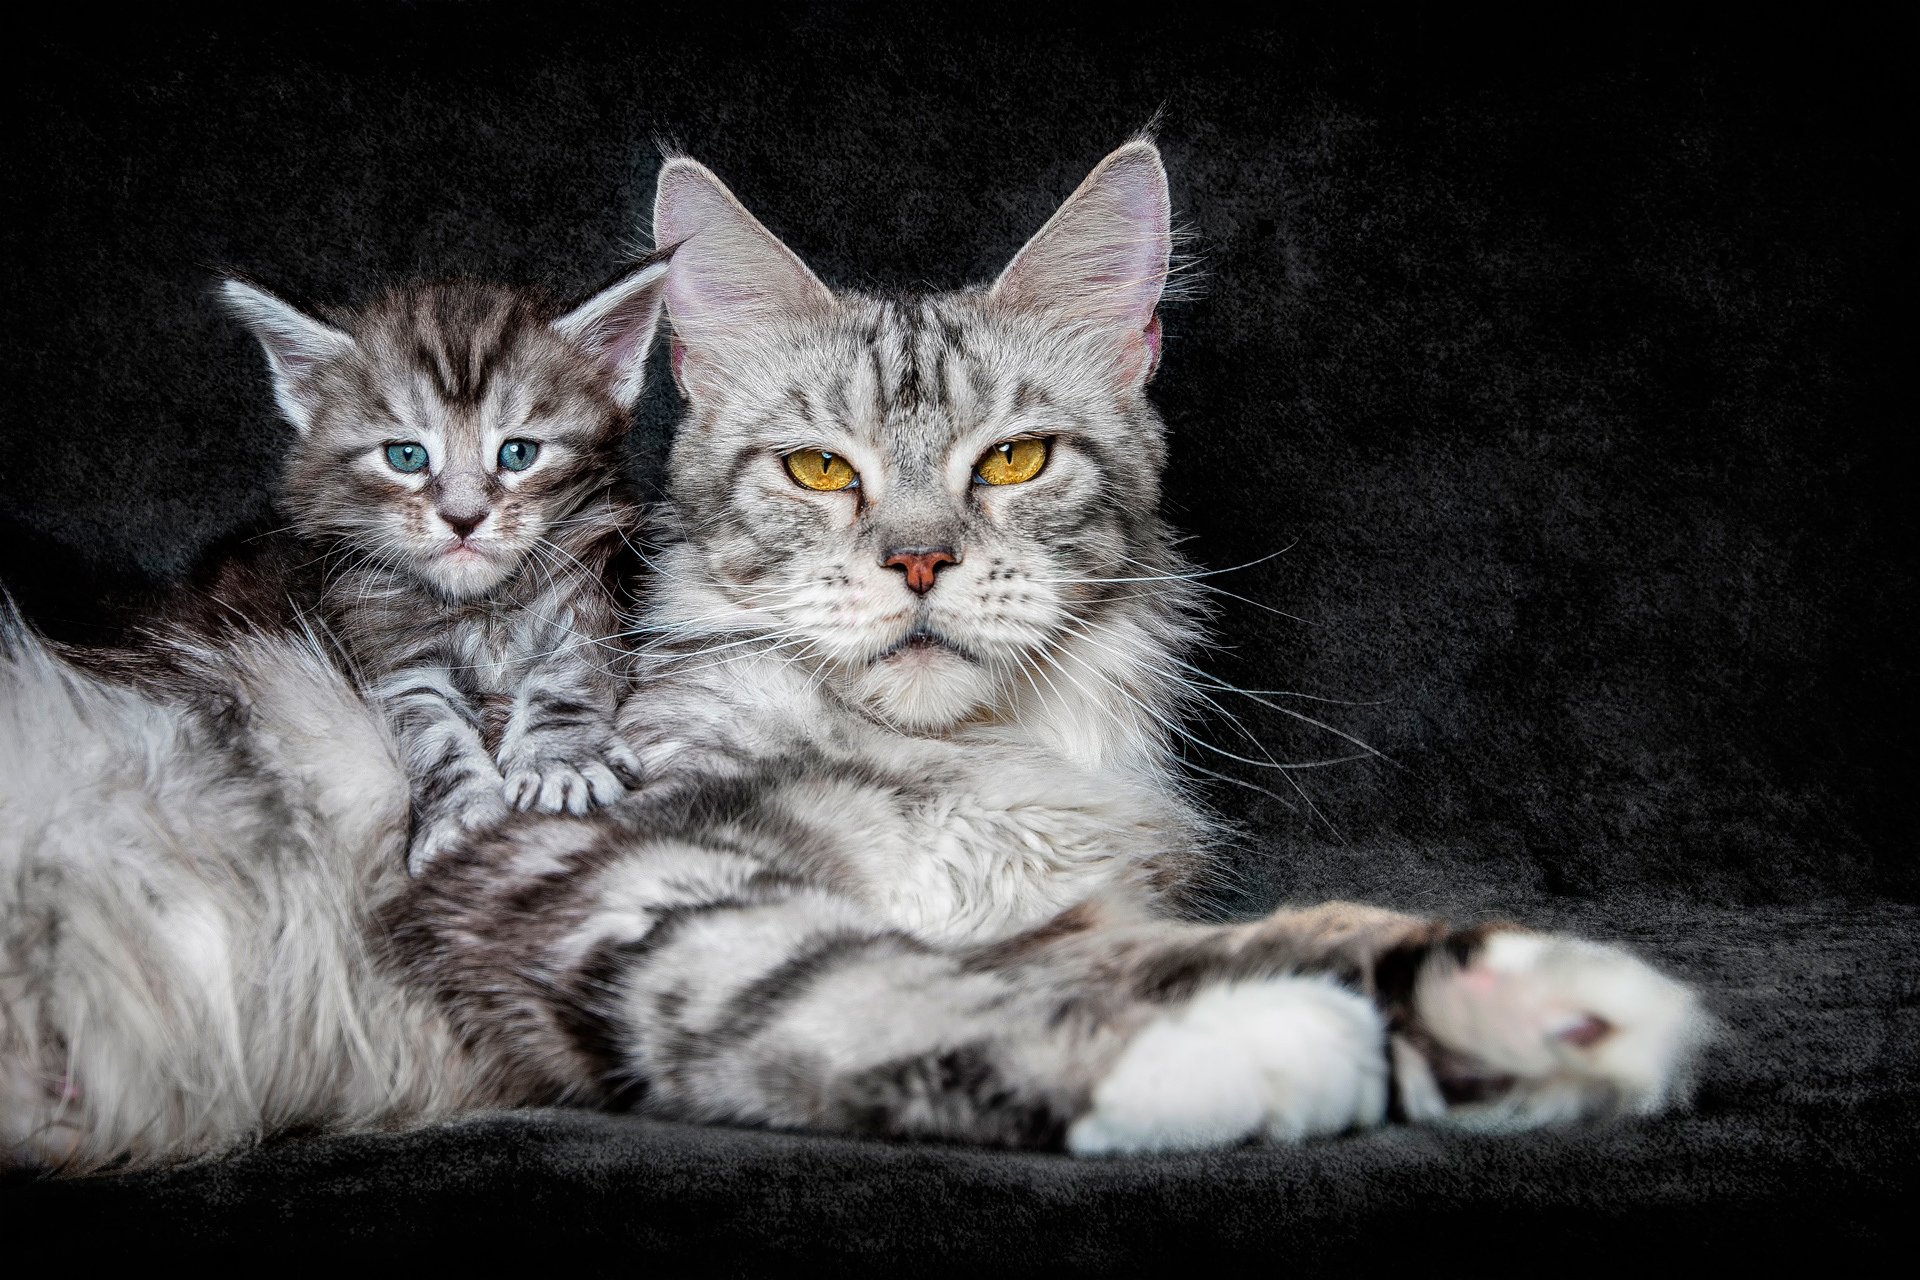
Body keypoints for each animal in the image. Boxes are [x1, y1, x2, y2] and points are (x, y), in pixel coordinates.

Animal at [219, 268, 660, 871]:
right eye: (406, 456)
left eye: (518, 453)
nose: (463, 518)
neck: (482, 607)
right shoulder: (390, 659)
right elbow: (430, 735)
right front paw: (462, 813)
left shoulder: (585, 599)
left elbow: (564, 679)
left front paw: (560, 762)